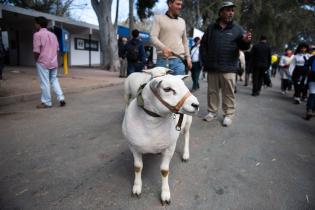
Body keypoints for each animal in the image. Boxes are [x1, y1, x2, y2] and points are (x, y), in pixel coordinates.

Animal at [122, 74, 199, 204]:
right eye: (167, 89)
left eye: (184, 86)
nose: (196, 104)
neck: (152, 124)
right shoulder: (133, 147)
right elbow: (137, 167)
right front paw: (137, 188)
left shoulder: (170, 148)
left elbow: (164, 171)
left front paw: (165, 194)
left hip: (187, 122)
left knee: (187, 136)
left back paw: (185, 155)